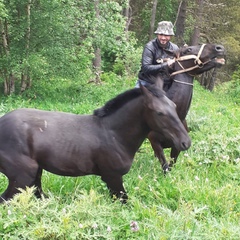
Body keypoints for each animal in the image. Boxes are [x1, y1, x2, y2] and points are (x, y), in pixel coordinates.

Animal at [0, 84, 191, 202]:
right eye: (159, 113)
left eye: (174, 106)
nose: (185, 142)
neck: (113, 134)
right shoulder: (112, 177)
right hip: (22, 177)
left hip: (35, 175)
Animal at [148, 42, 225, 171]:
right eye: (188, 50)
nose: (219, 48)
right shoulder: (154, 142)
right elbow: (165, 167)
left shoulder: (177, 147)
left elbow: (171, 165)